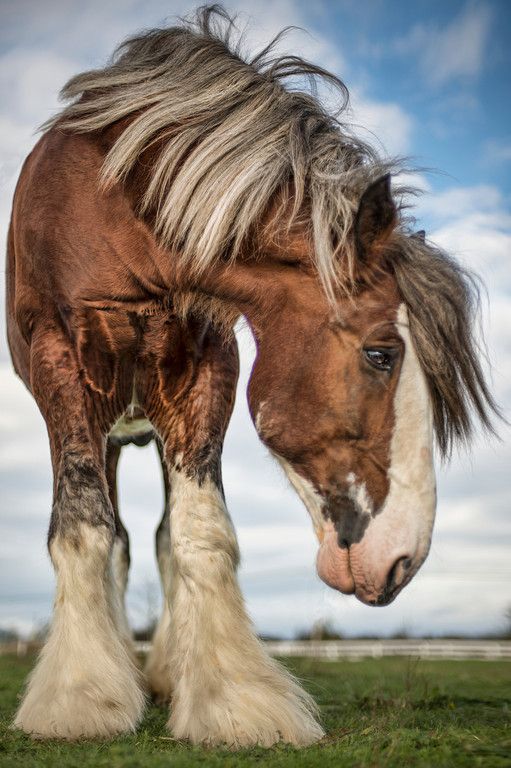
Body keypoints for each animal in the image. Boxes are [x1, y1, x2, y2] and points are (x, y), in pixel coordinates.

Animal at [6, 5, 498, 749]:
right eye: (381, 354)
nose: (403, 559)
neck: (119, 205)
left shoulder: (207, 367)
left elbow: (200, 535)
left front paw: (234, 702)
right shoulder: (62, 364)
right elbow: (85, 529)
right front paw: (82, 699)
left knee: (159, 538)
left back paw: (165, 674)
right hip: (105, 426)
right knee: (114, 537)